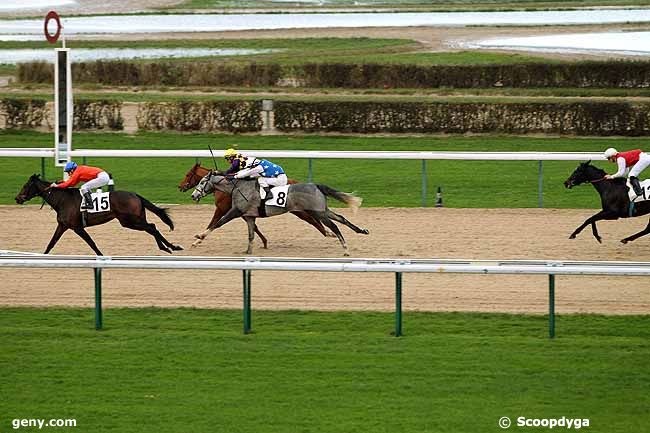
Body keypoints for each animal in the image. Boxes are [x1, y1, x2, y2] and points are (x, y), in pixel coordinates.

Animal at [15, 173, 182, 255]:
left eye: (25, 186)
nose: (17, 198)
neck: (62, 200)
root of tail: (135, 195)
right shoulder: (63, 225)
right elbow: (51, 243)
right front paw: (43, 256)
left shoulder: (77, 227)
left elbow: (91, 243)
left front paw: (101, 256)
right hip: (134, 219)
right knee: (151, 227)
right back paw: (167, 247)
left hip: (129, 220)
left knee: (152, 227)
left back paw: (172, 247)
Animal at [177, 161, 330, 246]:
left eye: (188, 174)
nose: (180, 187)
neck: (228, 187)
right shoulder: (243, 211)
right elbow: (254, 226)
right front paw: (264, 242)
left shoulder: (223, 209)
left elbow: (214, 223)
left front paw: (198, 240)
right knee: (313, 218)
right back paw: (328, 232)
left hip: (297, 210)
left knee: (311, 219)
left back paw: (328, 233)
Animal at [190, 171, 368, 255]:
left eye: (202, 182)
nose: (193, 195)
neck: (238, 187)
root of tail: (315, 185)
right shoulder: (249, 216)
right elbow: (251, 235)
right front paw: (248, 252)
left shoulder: (236, 211)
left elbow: (217, 223)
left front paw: (198, 238)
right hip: (321, 210)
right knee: (341, 218)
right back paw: (362, 231)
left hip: (317, 212)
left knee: (334, 226)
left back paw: (345, 248)